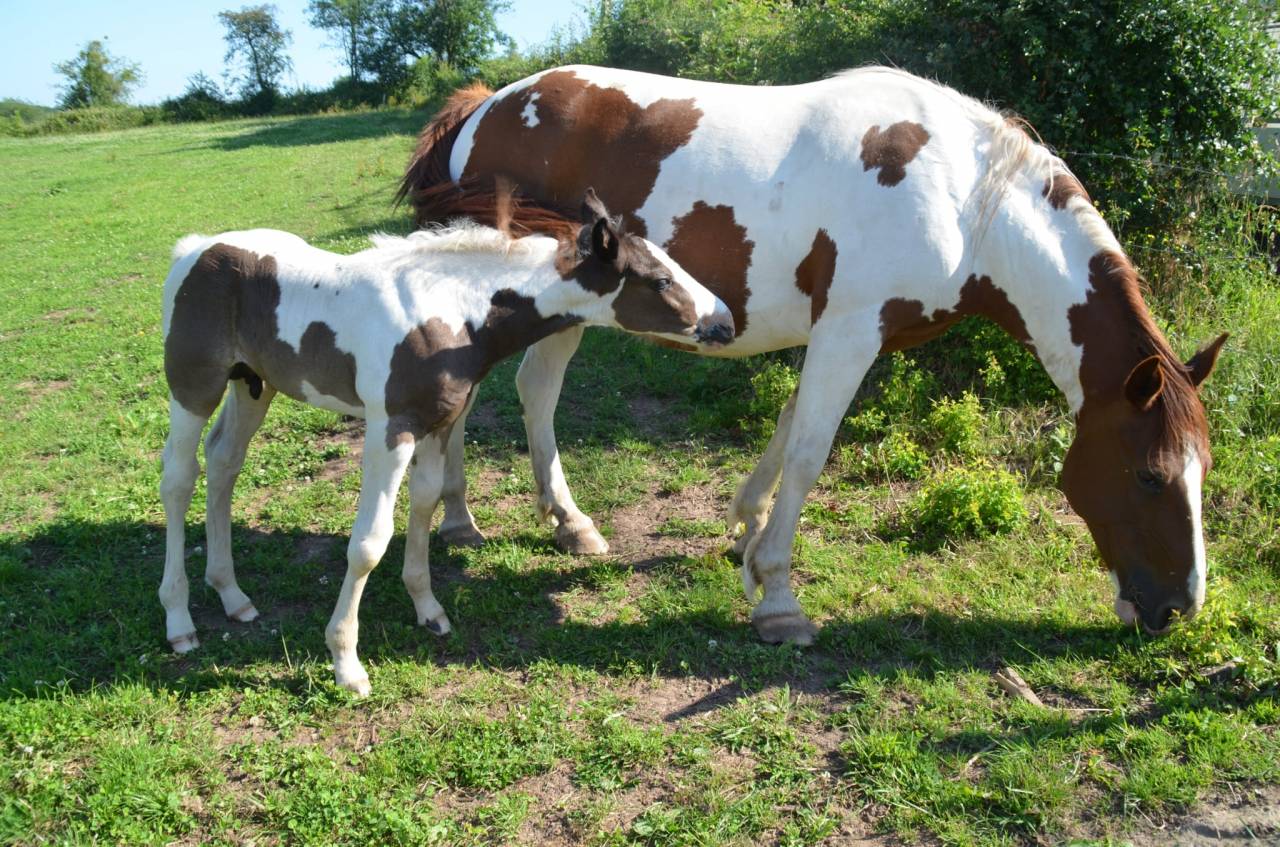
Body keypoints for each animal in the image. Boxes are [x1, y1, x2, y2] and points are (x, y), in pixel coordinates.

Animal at [158, 189, 736, 695]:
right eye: (660, 279)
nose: (725, 322)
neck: (453, 315)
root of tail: (195, 249)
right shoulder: (390, 429)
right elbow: (369, 542)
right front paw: (346, 663)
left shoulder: (435, 425)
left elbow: (426, 503)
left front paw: (428, 608)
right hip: (194, 387)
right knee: (179, 479)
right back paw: (180, 620)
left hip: (253, 384)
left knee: (224, 462)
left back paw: (232, 595)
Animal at [398, 65, 1228, 644]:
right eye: (1151, 475)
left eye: (1204, 469)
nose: (1179, 606)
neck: (964, 200)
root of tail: (486, 105)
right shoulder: (850, 333)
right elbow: (808, 454)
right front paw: (778, 598)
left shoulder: (848, 337)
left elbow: (788, 436)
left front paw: (745, 532)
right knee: (524, 393)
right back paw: (537, 520)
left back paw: (481, 519)